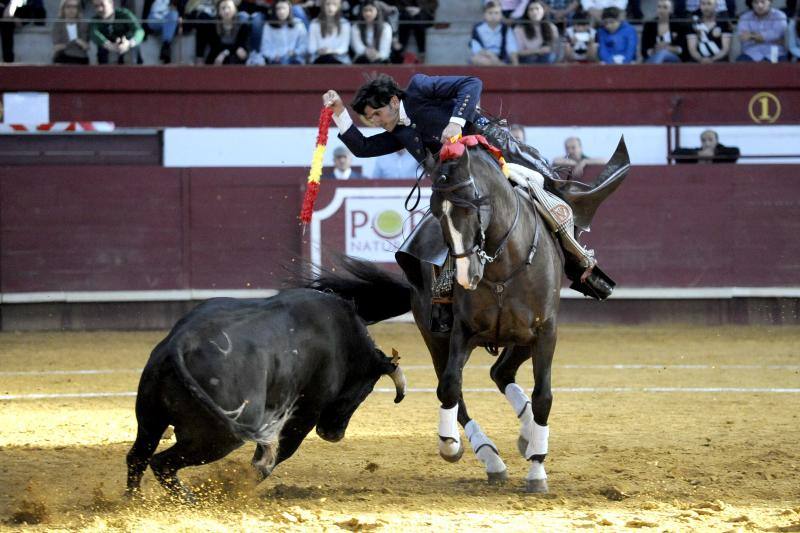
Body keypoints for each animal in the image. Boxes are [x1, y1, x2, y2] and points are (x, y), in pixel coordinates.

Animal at [130, 286, 412, 498]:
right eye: (366, 390)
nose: (333, 434)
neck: (345, 337)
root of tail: (180, 343)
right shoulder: (307, 409)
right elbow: (280, 452)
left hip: (150, 419)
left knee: (138, 457)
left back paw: (135, 501)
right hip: (219, 437)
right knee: (162, 463)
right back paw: (191, 500)